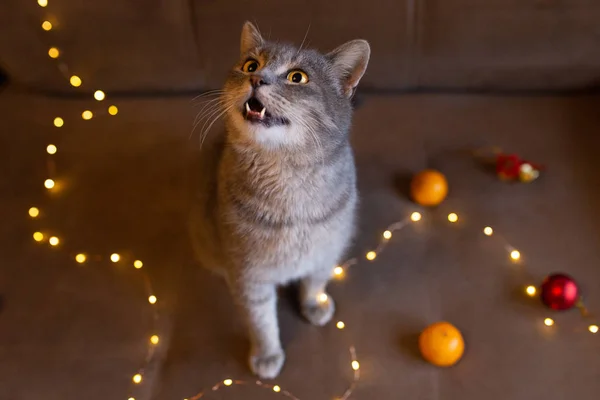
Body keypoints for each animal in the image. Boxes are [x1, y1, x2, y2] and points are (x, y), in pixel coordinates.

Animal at [191, 21, 370, 378]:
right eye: (250, 65)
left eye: (297, 77)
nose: (257, 79)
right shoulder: (250, 274)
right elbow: (261, 322)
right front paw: (267, 355)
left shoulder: (327, 251)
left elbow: (315, 282)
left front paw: (313, 305)